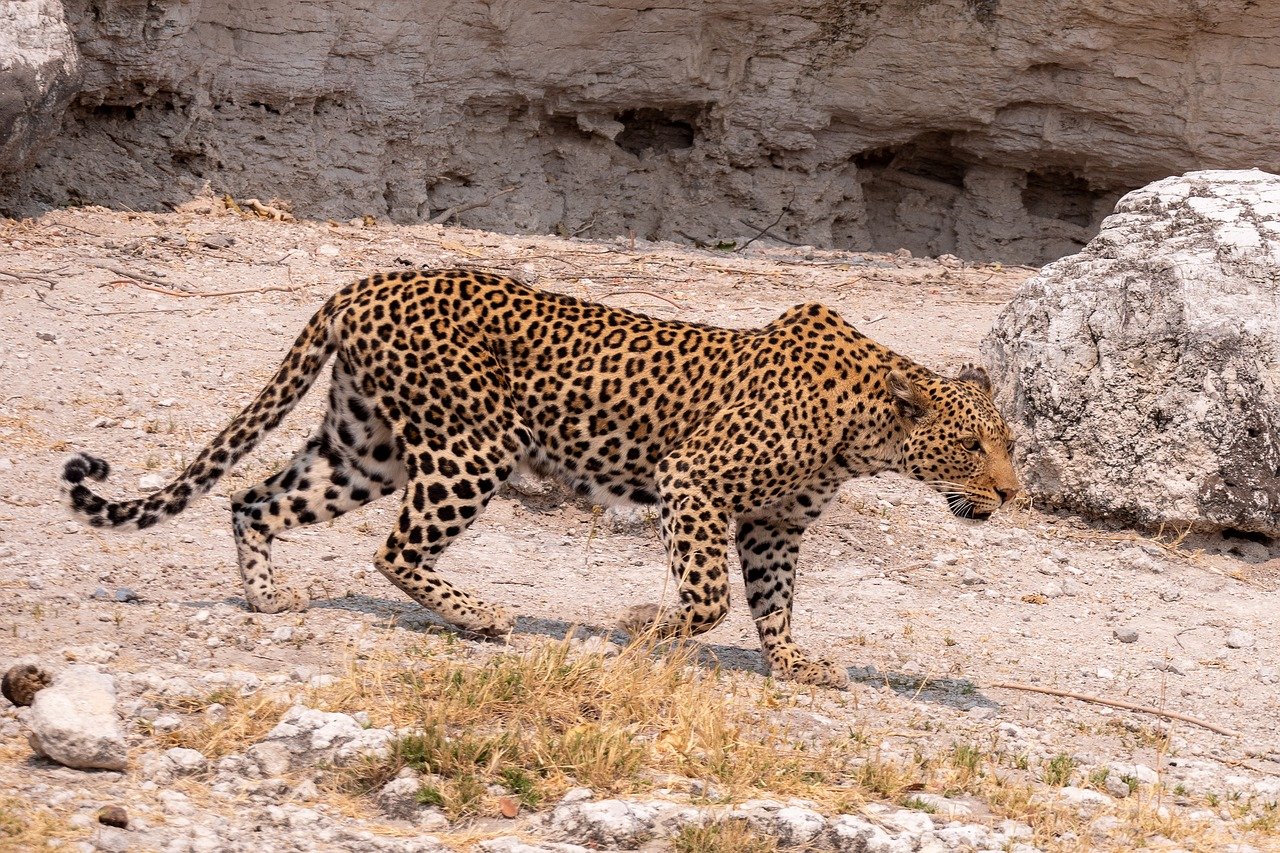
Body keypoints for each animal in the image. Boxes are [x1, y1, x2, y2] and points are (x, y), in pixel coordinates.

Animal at [57, 268, 1018, 686]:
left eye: (1006, 444)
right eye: (975, 448)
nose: (1013, 494)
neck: (868, 430)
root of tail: (367, 282)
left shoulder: (776, 524)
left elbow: (774, 601)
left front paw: (793, 662)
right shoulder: (695, 483)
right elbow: (709, 595)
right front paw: (639, 626)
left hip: (365, 447)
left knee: (252, 496)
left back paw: (267, 598)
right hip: (472, 446)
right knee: (393, 549)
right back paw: (482, 617)